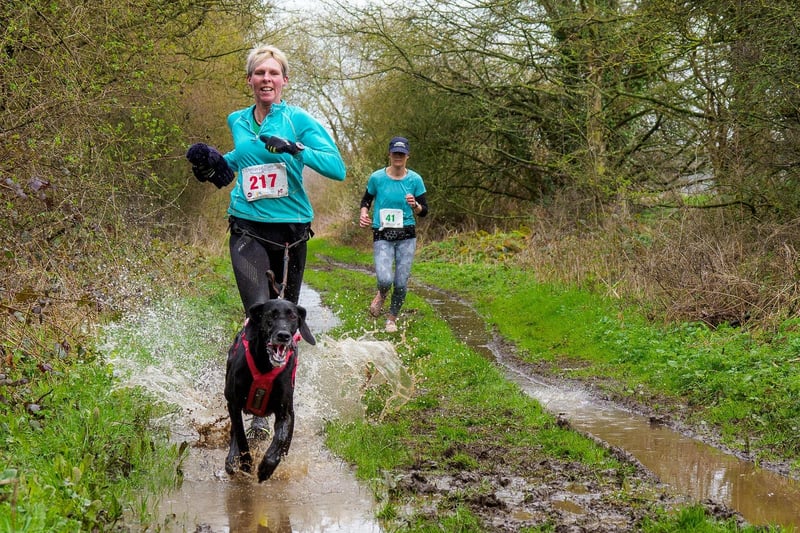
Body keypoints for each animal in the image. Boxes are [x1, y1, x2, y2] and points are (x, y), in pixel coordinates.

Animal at [225, 300, 316, 482]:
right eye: (270, 315)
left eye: (293, 316)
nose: (283, 335)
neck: (265, 365)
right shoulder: (234, 403)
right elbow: (241, 436)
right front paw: (246, 464)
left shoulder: (284, 412)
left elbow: (280, 438)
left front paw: (267, 467)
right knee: (235, 432)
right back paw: (232, 460)